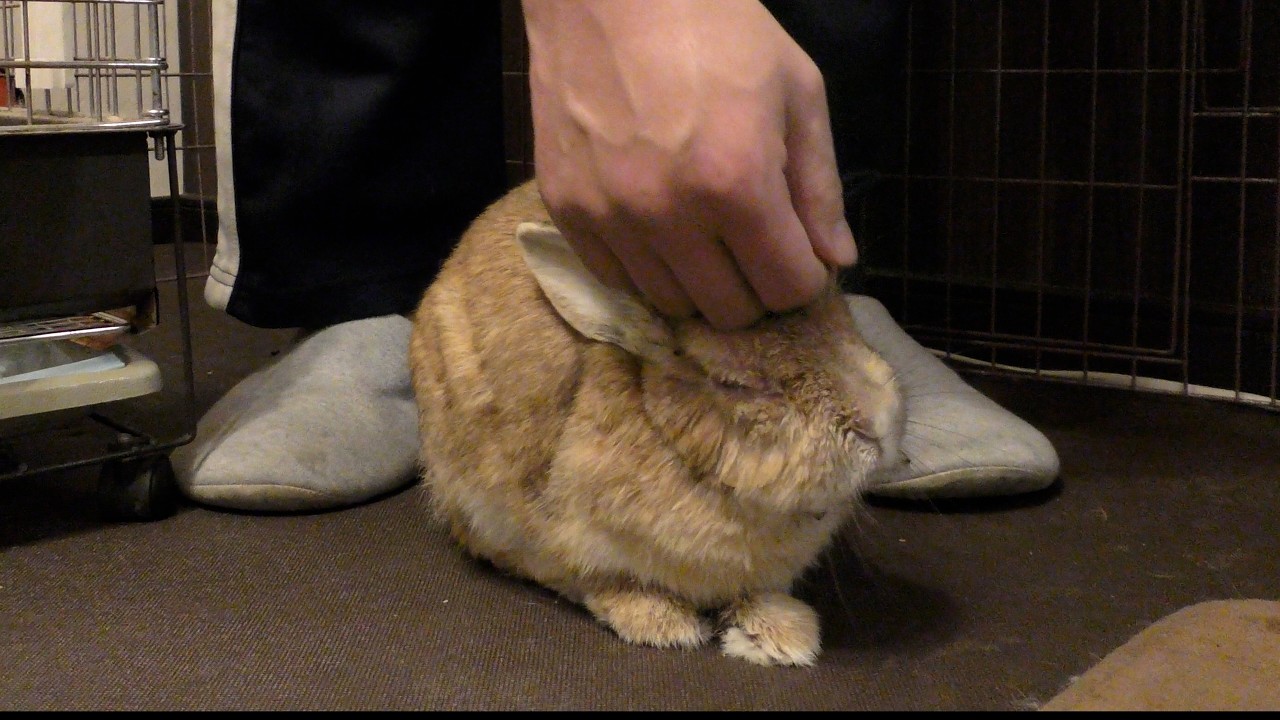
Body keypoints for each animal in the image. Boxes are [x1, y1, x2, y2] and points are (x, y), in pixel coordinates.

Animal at [409, 179, 905, 666]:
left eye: (845, 314)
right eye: (735, 385)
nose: (882, 418)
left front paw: (784, 634)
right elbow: (604, 583)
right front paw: (664, 625)